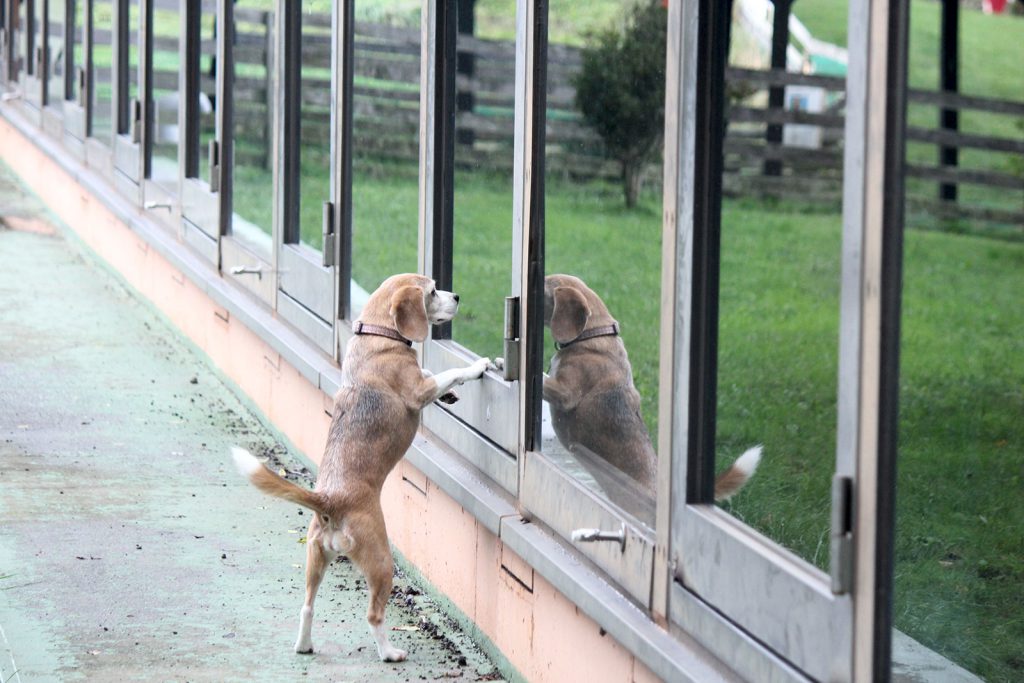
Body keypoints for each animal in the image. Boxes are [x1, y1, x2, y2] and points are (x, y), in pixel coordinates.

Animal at [231, 272, 491, 663]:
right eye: (432, 291)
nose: (457, 296)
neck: (377, 334)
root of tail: (329, 501)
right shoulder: (418, 391)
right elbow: (451, 372)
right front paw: (478, 368)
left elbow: (434, 373)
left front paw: (449, 394)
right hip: (381, 562)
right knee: (374, 616)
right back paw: (390, 652)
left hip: (315, 560)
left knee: (307, 606)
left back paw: (304, 645)